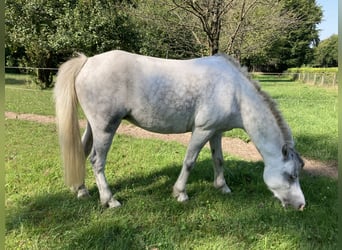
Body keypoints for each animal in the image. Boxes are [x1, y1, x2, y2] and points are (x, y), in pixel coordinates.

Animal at [54, 49, 306, 210]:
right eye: (291, 175)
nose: (301, 205)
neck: (236, 93)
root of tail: (87, 61)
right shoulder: (202, 130)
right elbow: (189, 161)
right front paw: (180, 193)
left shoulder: (216, 132)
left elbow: (219, 159)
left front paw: (222, 187)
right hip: (105, 128)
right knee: (97, 160)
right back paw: (109, 200)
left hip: (93, 126)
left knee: (81, 152)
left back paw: (81, 190)